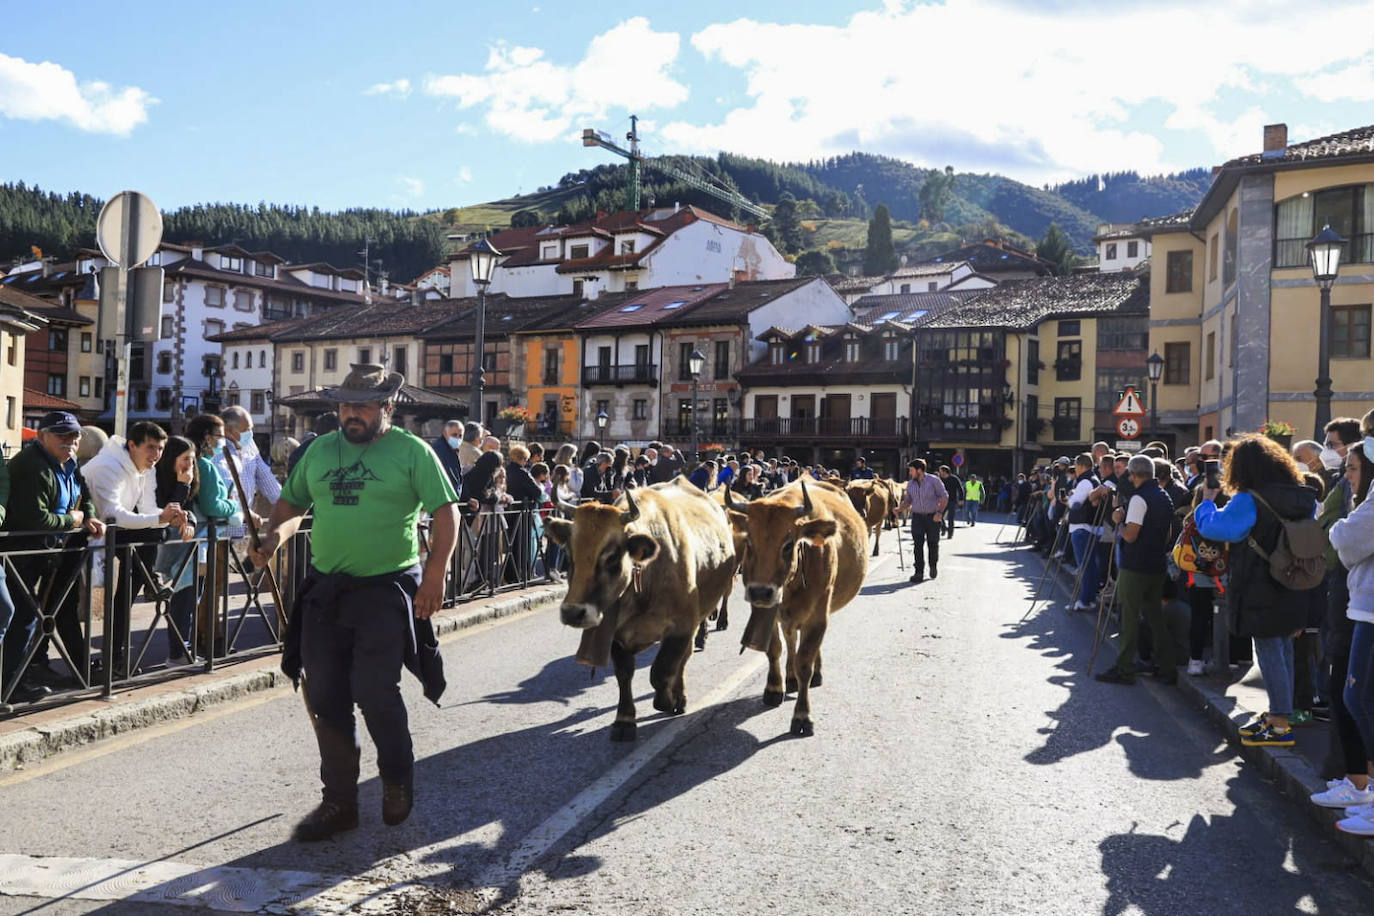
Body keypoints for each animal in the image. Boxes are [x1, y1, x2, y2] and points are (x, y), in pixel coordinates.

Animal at [546, 483, 741, 741]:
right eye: (569, 555)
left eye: (612, 557)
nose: (572, 613)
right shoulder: (616, 635)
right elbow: (624, 673)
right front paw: (624, 720)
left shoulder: (682, 626)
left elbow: (661, 670)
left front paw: (666, 700)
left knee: (684, 657)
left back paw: (680, 694)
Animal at [725, 480, 862, 736]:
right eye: (749, 542)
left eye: (788, 545)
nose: (760, 591)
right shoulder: (766, 610)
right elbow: (774, 650)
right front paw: (774, 688)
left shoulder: (818, 617)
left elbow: (804, 662)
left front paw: (802, 716)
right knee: (790, 640)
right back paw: (789, 677)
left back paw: (814, 673)